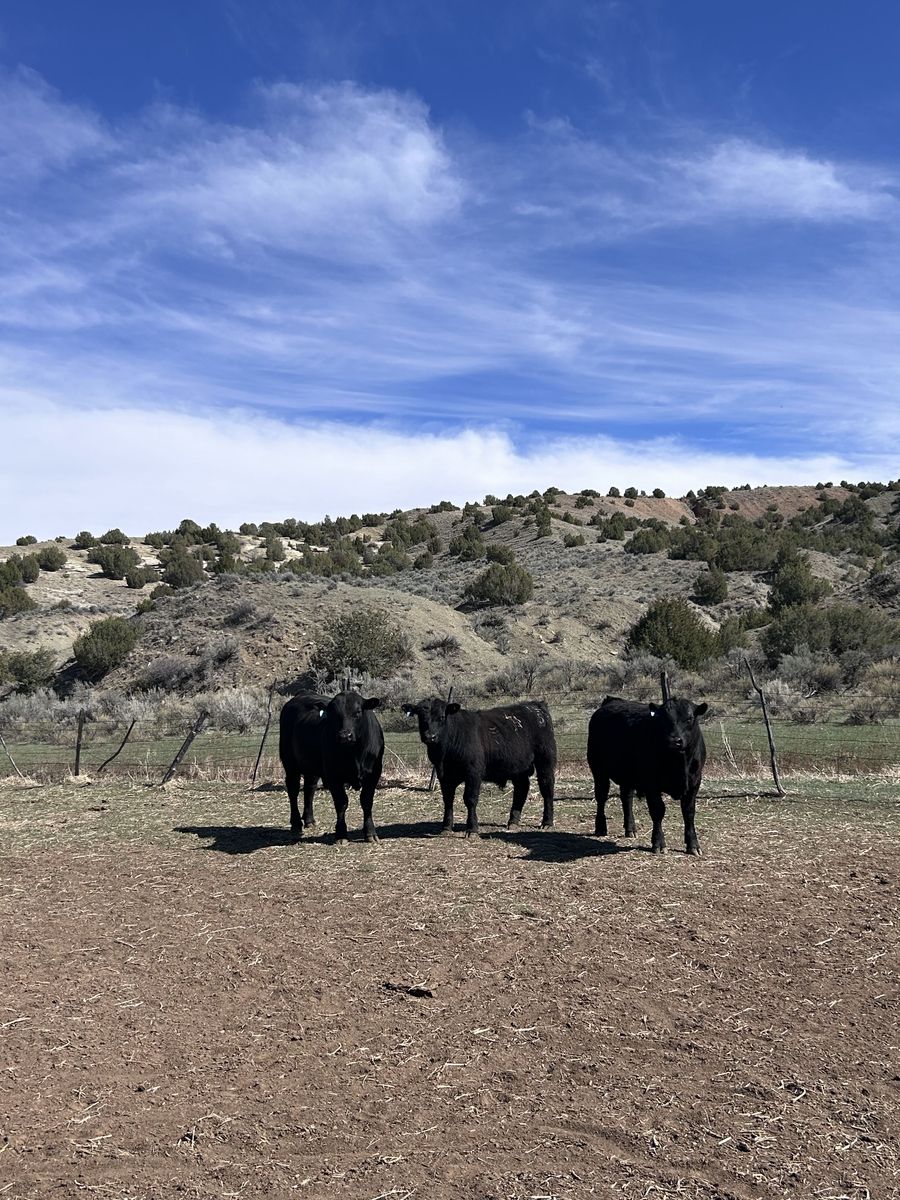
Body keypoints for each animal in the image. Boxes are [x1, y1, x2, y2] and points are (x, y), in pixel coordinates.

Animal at [279, 691, 384, 845]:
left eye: (358, 712)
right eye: (334, 714)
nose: (345, 736)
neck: (355, 753)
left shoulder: (373, 774)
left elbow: (366, 801)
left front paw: (370, 833)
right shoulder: (333, 775)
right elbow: (341, 803)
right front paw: (341, 834)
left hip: (311, 766)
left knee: (309, 788)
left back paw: (309, 820)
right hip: (290, 764)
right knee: (293, 790)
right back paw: (296, 824)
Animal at [402, 698, 557, 838]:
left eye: (441, 717)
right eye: (421, 717)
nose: (430, 737)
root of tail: (535, 705)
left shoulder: (473, 773)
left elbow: (470, 799)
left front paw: (472, 829)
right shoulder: (444, 776)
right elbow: (448, 800)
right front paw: (446, 827)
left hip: (545, 760)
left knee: (547, 788)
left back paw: (547, 822)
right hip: (518, 767)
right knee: (522, 788)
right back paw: (513, 821)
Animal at [587, 695, 708, 856]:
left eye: (689, 718)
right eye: (662, 719)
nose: (674, 741)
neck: (679, 764)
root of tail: (612, 701)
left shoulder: (695, 781)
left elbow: (688, 812)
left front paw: (693, 845)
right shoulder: (651, 784)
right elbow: (657, 810)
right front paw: (658, 843)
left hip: (627, 776)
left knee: (627, 799)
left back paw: (630, 829)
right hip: (598, 770)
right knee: (601, 797)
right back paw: (601, 827)